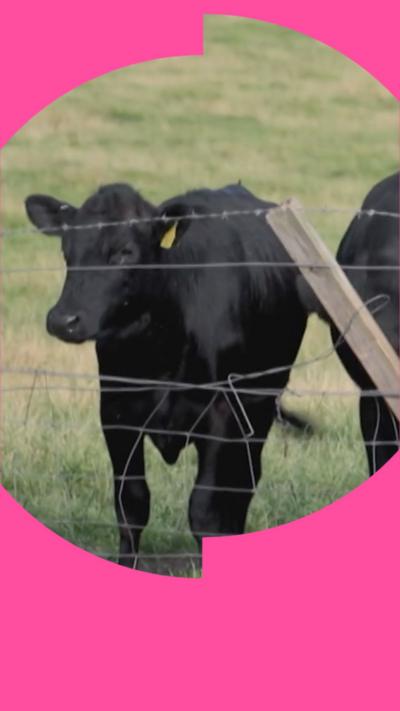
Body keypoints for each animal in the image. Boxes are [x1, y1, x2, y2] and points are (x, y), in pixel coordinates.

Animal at [25, 182, 308, 568]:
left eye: (125, 252)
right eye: (68, 251)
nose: (62, 320)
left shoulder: (223, 413)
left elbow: (206, 510)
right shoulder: (116, 411)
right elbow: (131, 503)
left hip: (260, 402)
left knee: (243, 484)